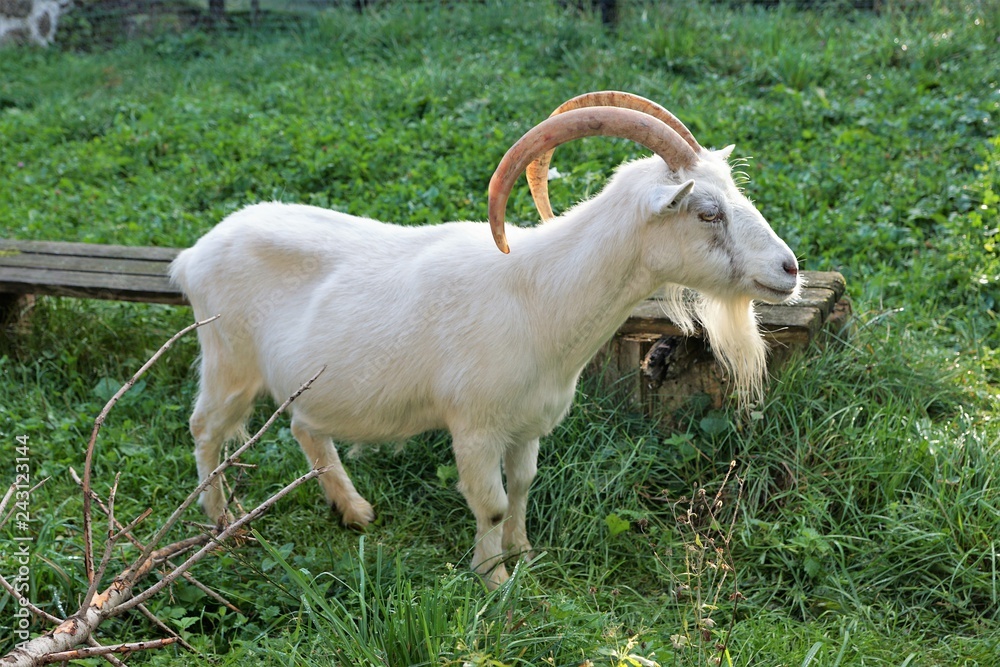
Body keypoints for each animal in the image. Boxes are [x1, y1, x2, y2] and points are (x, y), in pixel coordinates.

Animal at [170, 91, 801, 588]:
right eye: (706, 211)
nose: (789, 269)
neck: (537, 294)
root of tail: (194, 254)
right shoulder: (474, 426)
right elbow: (493, 504)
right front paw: (492, 581)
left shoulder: (527, 423)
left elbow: (522, 487)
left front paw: (524, 555)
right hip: (227, 360)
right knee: (205, 431)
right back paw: (219, 525)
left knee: (305, 427)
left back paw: (353, 512)